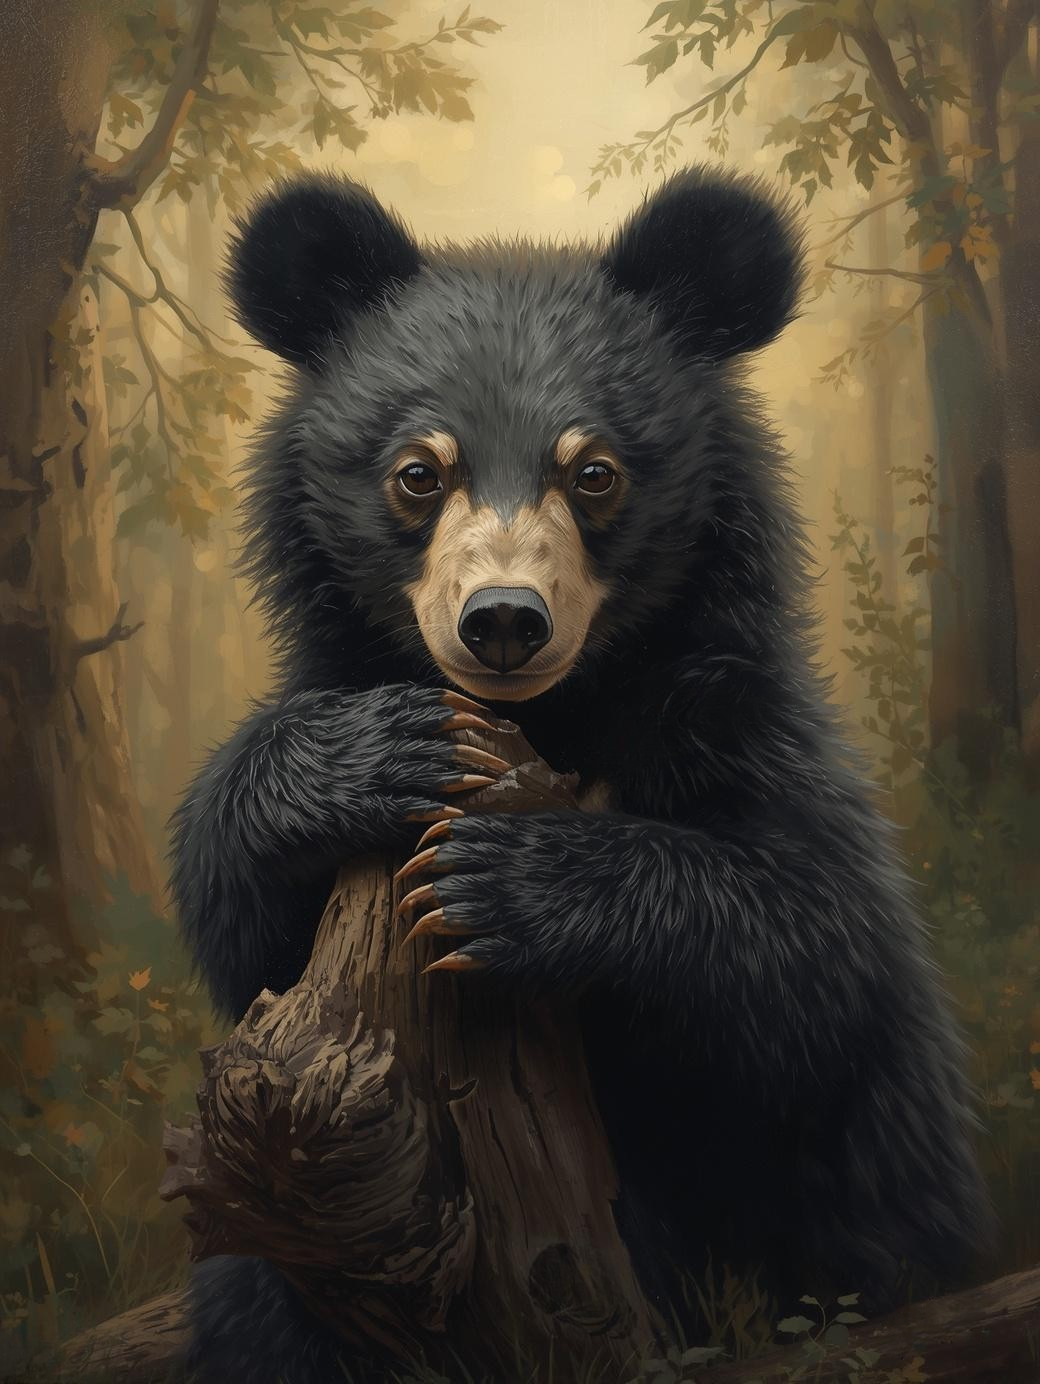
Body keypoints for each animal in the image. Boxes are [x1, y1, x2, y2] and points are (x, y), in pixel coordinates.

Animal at [170, 166, 995, 1383]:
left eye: (593, 472)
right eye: (419, 473)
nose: (505, 622)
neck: (555, 720)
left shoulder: (739, 725)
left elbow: (814, 955)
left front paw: (494, 884)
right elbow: (243, 934)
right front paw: (385, 751)